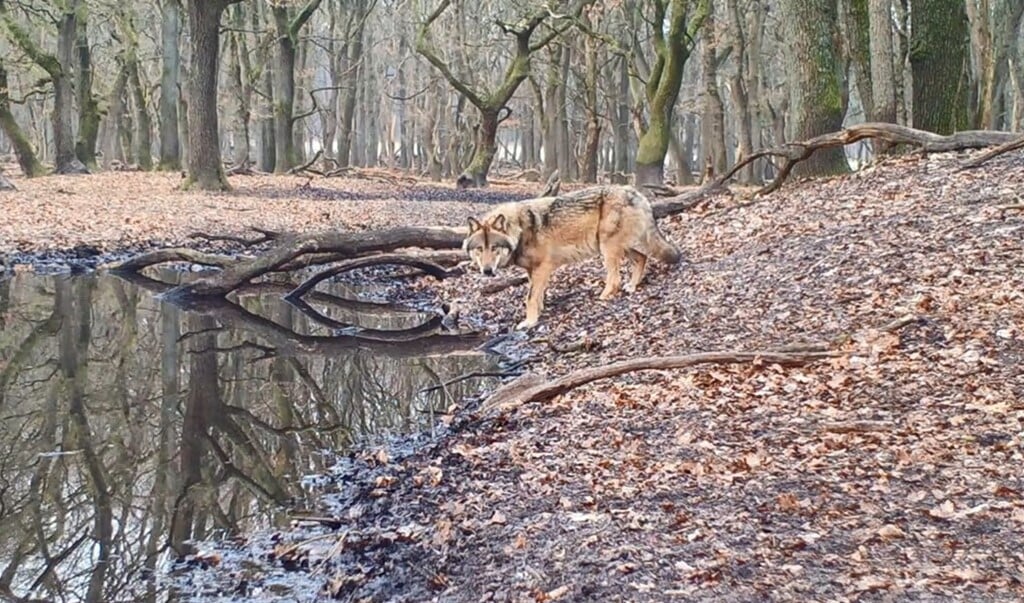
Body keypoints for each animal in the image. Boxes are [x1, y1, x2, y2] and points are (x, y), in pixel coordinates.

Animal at [464, 184, 679, 329]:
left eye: (494, 248)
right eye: (480, 249)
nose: (487, 271)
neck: (520, 229)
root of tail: (634, 192)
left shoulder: (542, 267)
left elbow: (530, 298)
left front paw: (529, 322)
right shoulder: (533, 271)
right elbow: (538, 296)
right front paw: (539, 312)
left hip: (607, 248)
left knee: (616, 279)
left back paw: (603, 297)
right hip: (619, 247)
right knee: (642, 258)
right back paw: (632, 286)